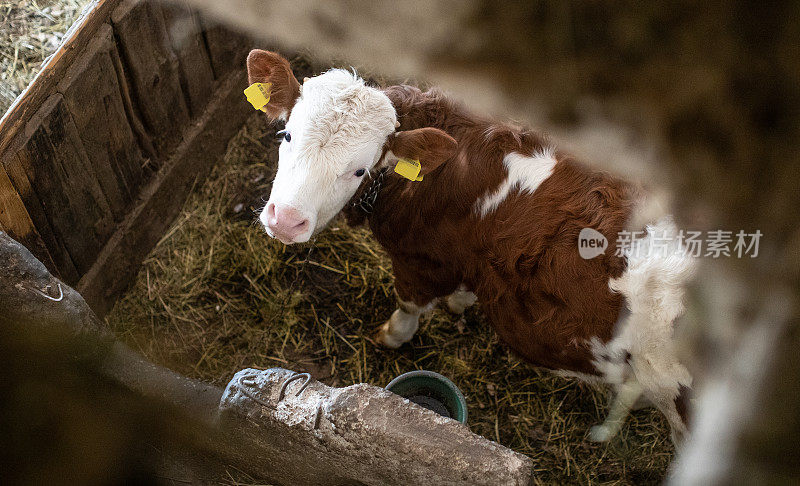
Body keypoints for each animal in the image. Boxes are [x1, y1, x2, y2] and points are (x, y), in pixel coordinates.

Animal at [247, 50, 696, 444]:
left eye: (358, 169)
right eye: (286, 134)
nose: (285, 220)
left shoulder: (420, 261)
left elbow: (409, 306)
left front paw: (392, 335)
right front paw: (460, 303)